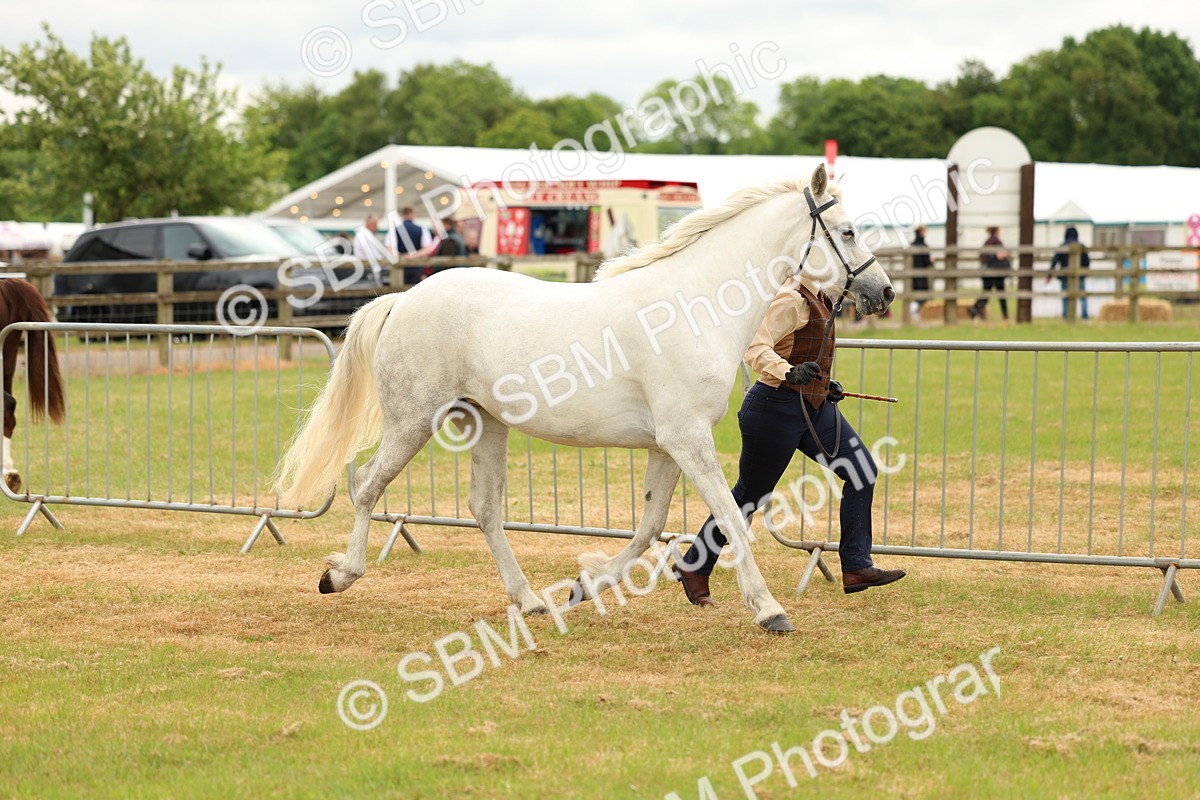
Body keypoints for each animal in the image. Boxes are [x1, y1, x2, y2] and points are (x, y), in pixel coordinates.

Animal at [277, 165, 894, 632]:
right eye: (847, 231)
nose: (883, 291)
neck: (695, 306)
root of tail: (404, 298)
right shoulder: (688, 439)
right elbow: (729, 518)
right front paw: (769, 611)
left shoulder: (669, 445)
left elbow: (649, 527)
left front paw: (586, 583)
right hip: (413, 420)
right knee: (366, 485)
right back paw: (339, 575)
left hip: (485, 423)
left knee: (485, 509)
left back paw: (530, 601)